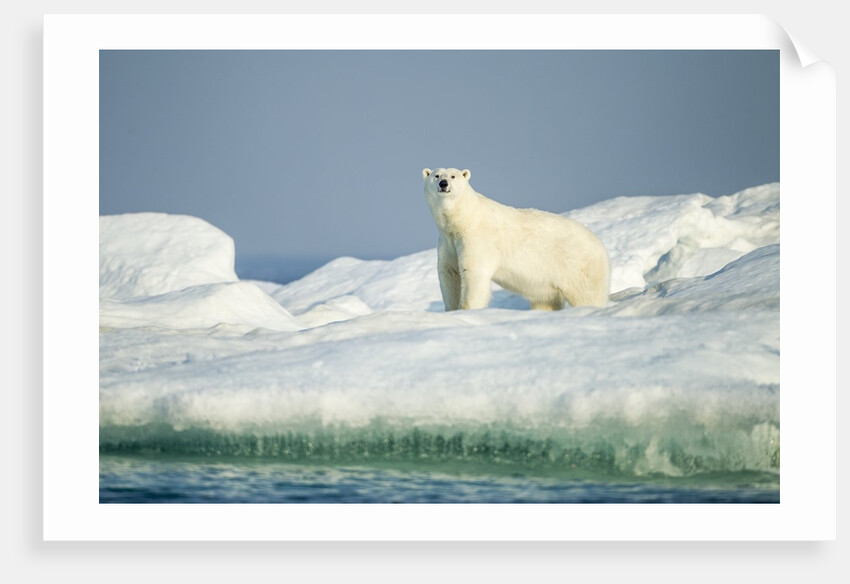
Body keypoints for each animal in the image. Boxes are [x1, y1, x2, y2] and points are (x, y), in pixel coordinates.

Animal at [422, 167, 611, 311]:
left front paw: (466, 309)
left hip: (578, 268)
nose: (443, 184)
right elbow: (450, 273)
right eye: (436, 175)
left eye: (453, 176)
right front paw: (451, 310)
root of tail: (601, 247)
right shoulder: (448, 241)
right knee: (546, 301)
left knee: (587, 295)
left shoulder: (477, 238)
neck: (465, 219)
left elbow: (472, 272)